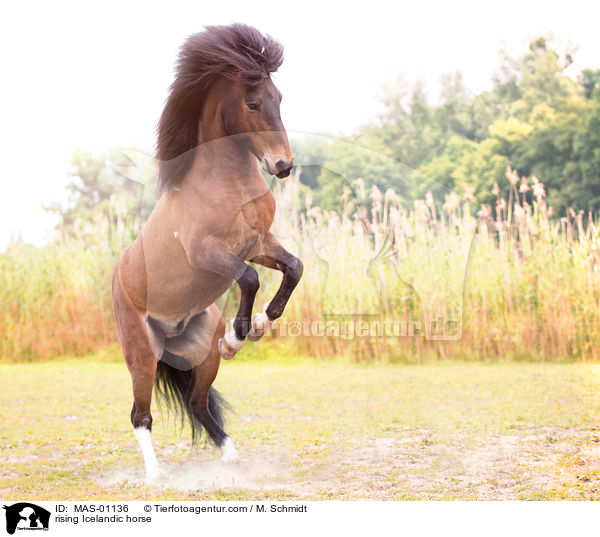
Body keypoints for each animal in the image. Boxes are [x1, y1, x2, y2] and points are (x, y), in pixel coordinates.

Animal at [112, 23, 302, 480]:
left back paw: (232, 456)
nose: (283, 166)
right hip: (141, 356)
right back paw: (155, 476)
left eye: (279, 98)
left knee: (198, 403)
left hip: (201, 355)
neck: (223, 182)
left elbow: (293, 268)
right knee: (140, 416)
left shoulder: (258, 243)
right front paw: (239, 337)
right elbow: (249, 278)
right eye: (253, 102)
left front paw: (261, 325)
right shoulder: (208, 253)